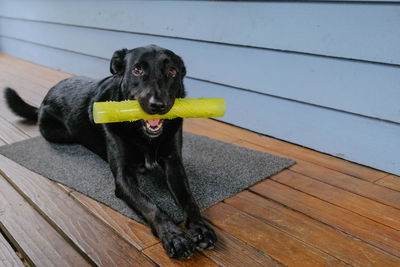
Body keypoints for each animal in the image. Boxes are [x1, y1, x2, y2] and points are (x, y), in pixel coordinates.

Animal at [3, 45, 216, 260]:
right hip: (59, 133)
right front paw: (173, 235)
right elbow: (151, 205)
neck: (144, 135)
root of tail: (43, 100)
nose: (158, 105)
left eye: (172, 72)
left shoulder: (174, 164)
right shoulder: (124, 177)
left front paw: (200, 227)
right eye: (137, 70)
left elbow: (189, 199)